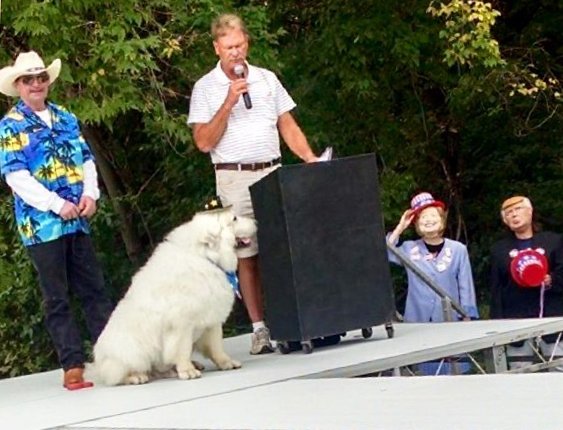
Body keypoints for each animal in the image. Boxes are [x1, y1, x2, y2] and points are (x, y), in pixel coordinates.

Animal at [91, 207, 256, 384]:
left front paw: (226, 363)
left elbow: (216, 346)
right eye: (234, 219)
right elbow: (181, 349)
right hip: (131, 352)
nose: (255, 221)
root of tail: (97, 365)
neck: (206, 257)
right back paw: (137, 376)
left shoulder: (211, 320)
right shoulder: (180, 323)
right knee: (119, 374)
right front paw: (187, 371)